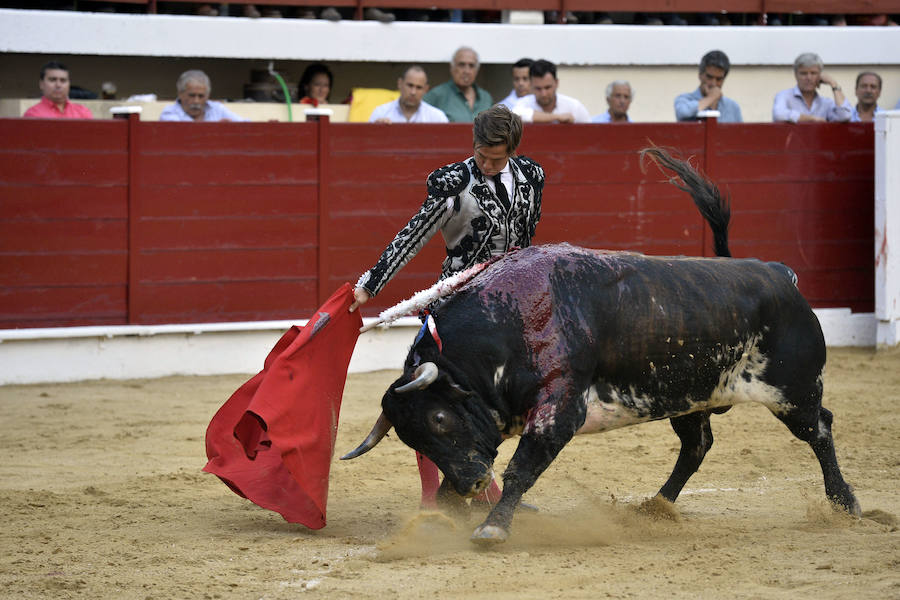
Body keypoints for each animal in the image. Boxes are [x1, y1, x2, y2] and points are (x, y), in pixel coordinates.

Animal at [342, 146, 856, 544]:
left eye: (439, 418)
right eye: (413, 438)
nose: (471, 483)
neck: (507, 321)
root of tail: (779, 274)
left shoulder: (559, 408)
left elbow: (522, 467)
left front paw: (492, 528)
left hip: (793, 389)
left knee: (820, 429)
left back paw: (845, 504)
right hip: (687, 395)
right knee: (698, 445)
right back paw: (655, 506)